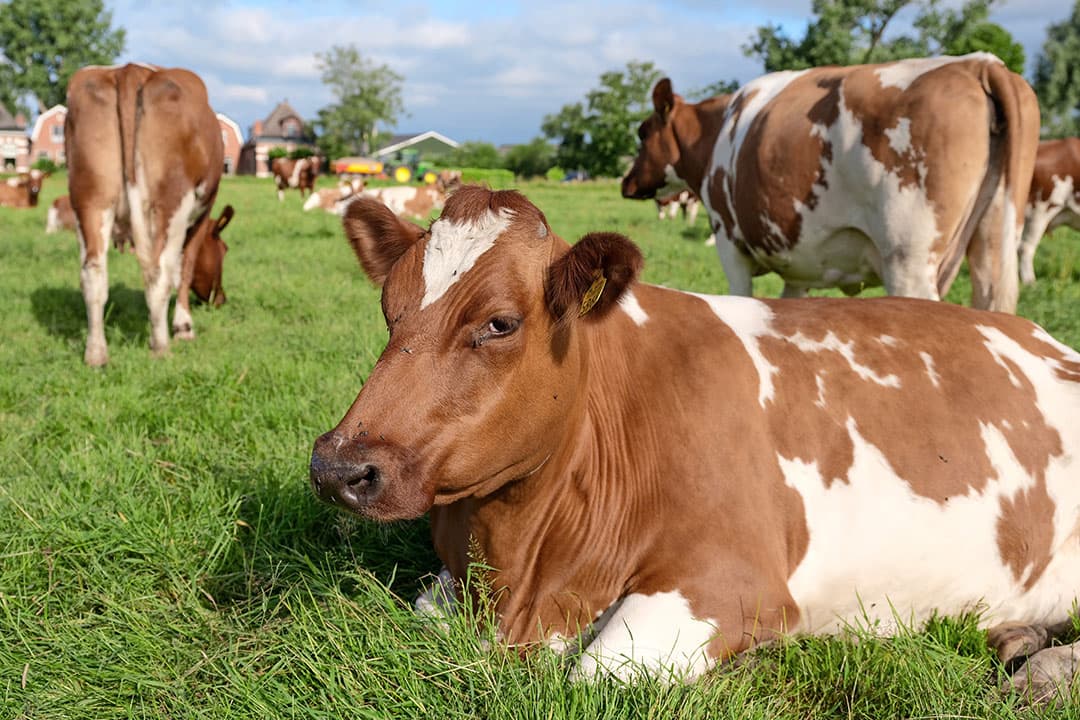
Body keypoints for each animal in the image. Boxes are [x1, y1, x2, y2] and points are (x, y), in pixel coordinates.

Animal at [66, 63, 225, 366]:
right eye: (224, 251)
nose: (221, 300)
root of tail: (128, 70)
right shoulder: (201, 214)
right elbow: (185, 268)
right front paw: (184, 327)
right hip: (171, 201)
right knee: (159, 274)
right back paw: (161, 347)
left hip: (89, 198)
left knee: (93, 274)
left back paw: (96, 354)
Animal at [310, 186, 1080, 698]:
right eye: (390, 310)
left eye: (499, 322)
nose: (340, 465)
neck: (524, 577)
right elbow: (424, 614)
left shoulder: (731, 581)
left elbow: (595, 672)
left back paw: (1041, 671)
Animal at [622, 53, 1040, 314]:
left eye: (642, 133)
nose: (626, 182)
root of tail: (976, 63)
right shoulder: (798, 266)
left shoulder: (729, 243)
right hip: (992, 233)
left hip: (909, 258)